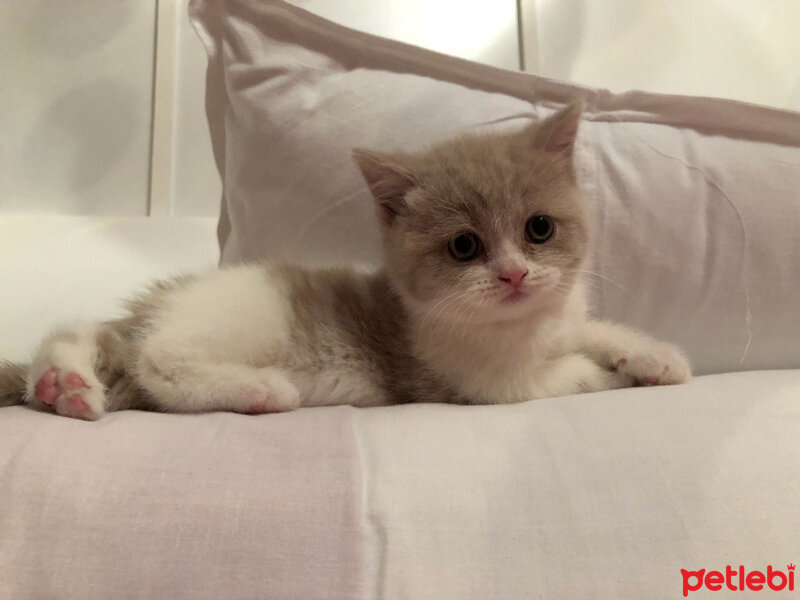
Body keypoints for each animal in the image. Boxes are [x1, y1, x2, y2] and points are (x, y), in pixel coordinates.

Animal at [0, 103, 688, 420]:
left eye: (539, 229)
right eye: (464, 246)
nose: (515, 273)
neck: (527, 327)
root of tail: (157, 306)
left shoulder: (563, 316)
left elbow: (592, 331)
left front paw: (652, 356)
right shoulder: (486, 385)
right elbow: (572, 374)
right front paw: (617, 375)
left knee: (84, 335)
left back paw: (64, 386)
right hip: (247, 318)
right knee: (156, 359)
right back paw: (258, 390)